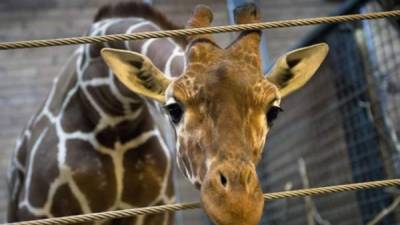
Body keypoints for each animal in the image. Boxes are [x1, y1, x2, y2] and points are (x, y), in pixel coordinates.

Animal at [8, 1, 328, 225]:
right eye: (174, 108)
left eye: (273, 111)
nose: (237, 207)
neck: (112, 114)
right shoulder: (46, 213)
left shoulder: (153, 213)